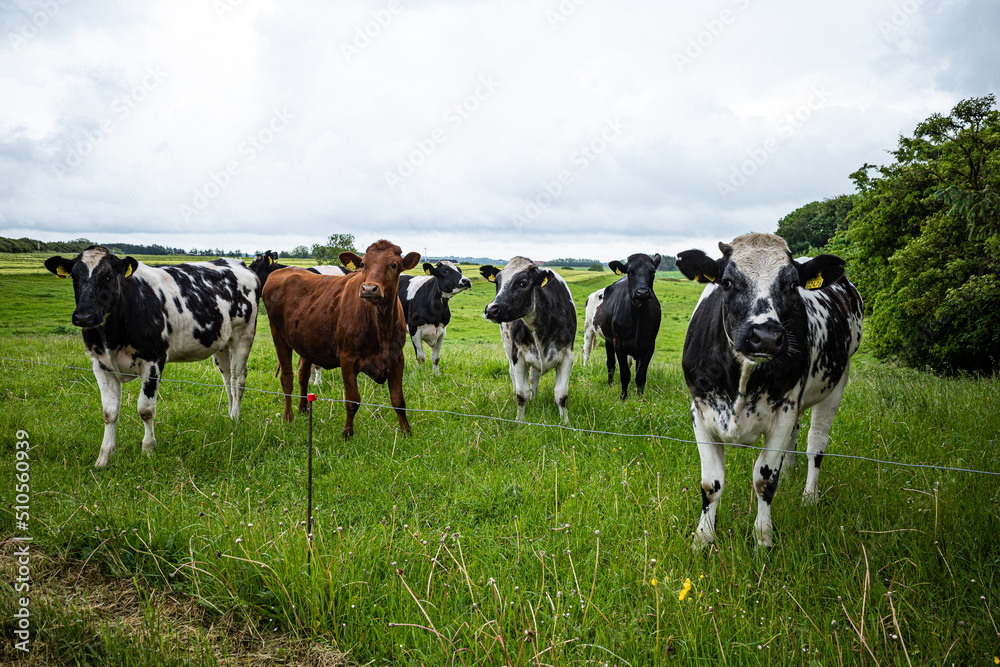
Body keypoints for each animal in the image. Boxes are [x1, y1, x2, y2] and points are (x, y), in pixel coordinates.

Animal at [44, 247, 260, 470]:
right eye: (74, 276)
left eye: (108, 276)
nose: (84, 316)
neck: (113, 334)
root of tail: (235, 262)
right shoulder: (100, 364)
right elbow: (109, 412)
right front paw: (104, 457)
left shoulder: (153, 360)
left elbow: (145, 410)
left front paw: (148, 450)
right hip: (221, 342)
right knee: (227, 379)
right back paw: (230, 415)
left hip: (243, 335)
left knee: (237, 380)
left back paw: (236, 417)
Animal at [260, 240, 420, 438]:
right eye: (363, 264)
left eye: (394, 265)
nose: (369, 289)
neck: (381, 325)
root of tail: (282, 271)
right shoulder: (347, 359)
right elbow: (352, 400)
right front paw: (347, 433)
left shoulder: (397, 358)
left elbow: (398, 400)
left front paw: (406, 432)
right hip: (279, 336)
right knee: (287, 377)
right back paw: (288, 417)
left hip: (305, 341)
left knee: (303, 374)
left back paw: (303, 409)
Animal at [480, 260, 576, 422]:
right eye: (497, 283)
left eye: (523, 283)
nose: (491, 309)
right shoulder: (517, 355)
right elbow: (521, 394)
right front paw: (519, 421)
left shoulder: (567, 356)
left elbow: (561, 395)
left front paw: (565, 422)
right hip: (507, 346)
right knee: (514, 375)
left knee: (534, 377)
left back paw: (535, 399)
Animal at [580, 253, 664, 400]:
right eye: (629, 272)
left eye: (652, 272)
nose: (642, 292)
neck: (637, 316)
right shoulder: (619, 344)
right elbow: (625, 373)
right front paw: (623, 398)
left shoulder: (649, 345)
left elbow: (640, 374)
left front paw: (640, 397)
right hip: (589, 328)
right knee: (588, 351)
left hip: (609, 339)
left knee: (612, 364)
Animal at [676, 235, 864, 548]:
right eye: (727, 281)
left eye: (792, 285)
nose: (764, 336)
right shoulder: (700, 411)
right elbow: (711, 483)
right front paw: (702, 538)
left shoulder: (783, 410)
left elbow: (764, 479)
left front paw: (763, 538)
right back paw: (790, 473)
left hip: (837, 381)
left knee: (815, 443)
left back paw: (809, 496)